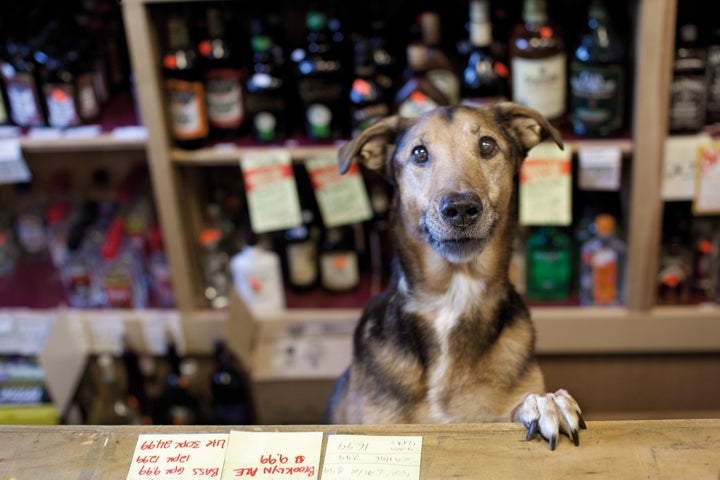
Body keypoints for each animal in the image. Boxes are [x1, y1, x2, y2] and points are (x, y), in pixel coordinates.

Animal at [324, 102, 584, 450]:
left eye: (487, 145)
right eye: (419, 152)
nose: (461, 208)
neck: (453, 296)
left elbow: (515, 408)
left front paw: (545, 403)